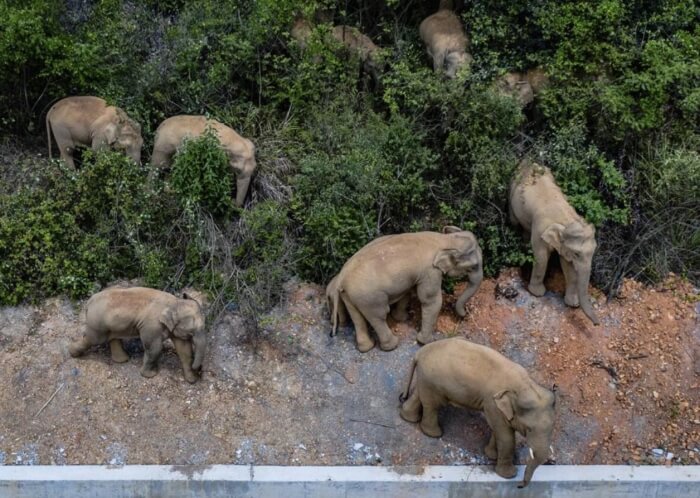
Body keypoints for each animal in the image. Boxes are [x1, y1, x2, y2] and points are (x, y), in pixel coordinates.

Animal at [67, 286, 205, 384]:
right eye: (192, 331)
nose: (199, 371)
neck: (174, 302)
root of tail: (88, 302)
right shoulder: (151, 326)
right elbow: (155, 348)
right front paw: (150, 375)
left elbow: (184, 350)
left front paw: (191, 380)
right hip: (98, 323)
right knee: (93, 339)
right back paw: (73, 353)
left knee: (113, 338)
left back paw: (123, 360)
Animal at [326, 228, 482, 352]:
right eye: (474, 266)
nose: (464, 315)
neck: (445, 239)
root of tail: (341, 278)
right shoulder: (430, 271)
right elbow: (431, 300)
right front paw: (426, 342)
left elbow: (407, 292)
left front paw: (402, 318)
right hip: (369, 297)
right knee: (379, 316)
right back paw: (392, 345)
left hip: (350, 295)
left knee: (357, 317)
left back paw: (366, 348)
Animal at [400, 336, 556, 488]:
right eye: (529, 429)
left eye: (552, 429)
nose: (519, 486)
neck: (525, 385)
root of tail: (420, 352)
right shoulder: (492, 403)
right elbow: (506, 437)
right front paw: (509, 475)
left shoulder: (496, 407)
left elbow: (497, 430)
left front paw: (491, 455)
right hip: (433, 380)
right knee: (433, 404)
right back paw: (434, 434)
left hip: (426, 378)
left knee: (420, 395)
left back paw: (408, 418)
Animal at [508, 160, 600, 326]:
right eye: (577, 254)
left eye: (593, 252)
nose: (597, 324)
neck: (566, 220)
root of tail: (527, 161)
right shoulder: (540, 228)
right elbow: (541, 257)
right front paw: (537, 293)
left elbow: (567, 266)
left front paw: (572, 304)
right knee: (514, 222)